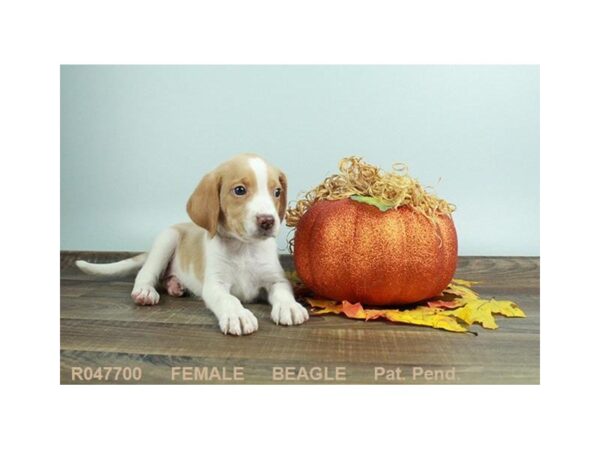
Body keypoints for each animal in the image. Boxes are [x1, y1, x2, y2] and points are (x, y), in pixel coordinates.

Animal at [75, 155, 310, 334]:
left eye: (277, 192)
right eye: (240, 190)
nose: (268, 221)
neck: (244, 248)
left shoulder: (276, 279)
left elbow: (283, 292)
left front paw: (290, 307)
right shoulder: (215, 285)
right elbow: (228, 299)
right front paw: (238, 315)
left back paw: (175, 285)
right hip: (166, 239)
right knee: (146, 273)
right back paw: (145, 292)